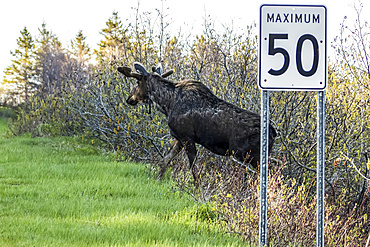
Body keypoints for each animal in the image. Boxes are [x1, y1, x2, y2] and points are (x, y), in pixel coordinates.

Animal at [117, 62, 276, 182]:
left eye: (137, 82)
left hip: (247, 155)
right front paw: (157, 179)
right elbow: (166, 159)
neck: (167, 104)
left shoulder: (187, 137)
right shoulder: (178, 138)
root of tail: (273, 132)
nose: (129, 98)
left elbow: (193, 167)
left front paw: (197, 188)